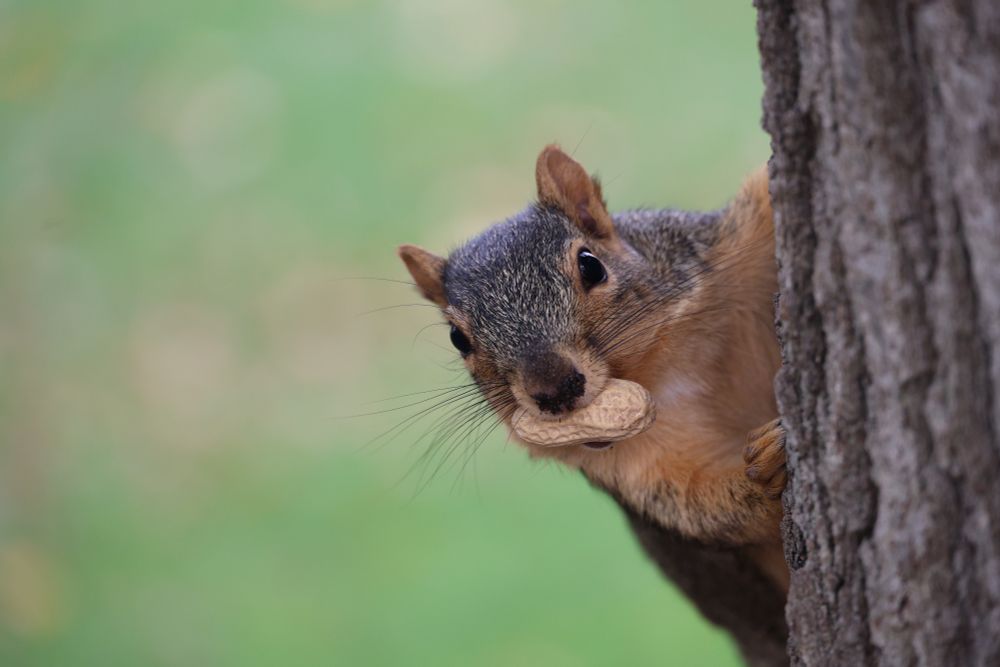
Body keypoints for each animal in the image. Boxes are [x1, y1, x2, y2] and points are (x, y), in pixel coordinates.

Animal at [398, 145, 789, 637]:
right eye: (457, 338)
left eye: (590, 264)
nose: (554, 388)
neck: (663, 370)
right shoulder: (639, 472)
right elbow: (710, 510)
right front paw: (765, 473)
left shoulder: (724, 244)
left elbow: (762, 197)